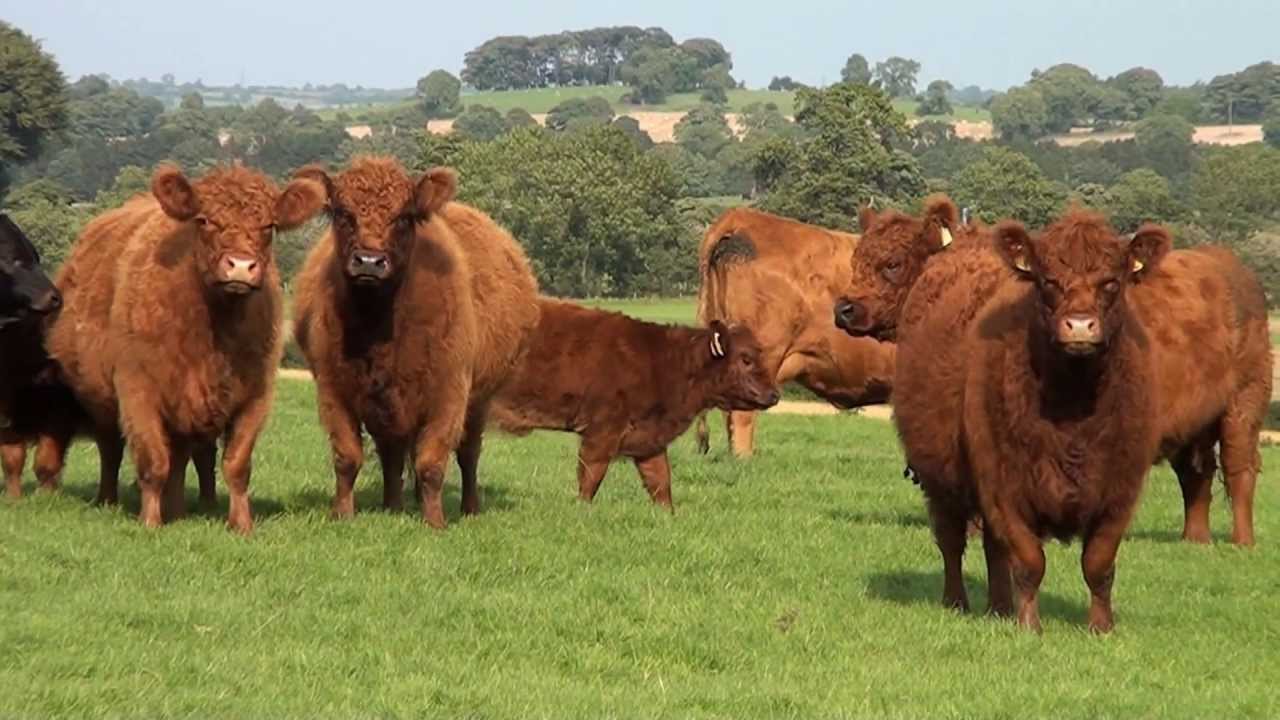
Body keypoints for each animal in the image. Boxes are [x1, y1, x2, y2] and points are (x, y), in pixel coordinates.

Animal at [43, 164, 325, 532]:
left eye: (269, 226)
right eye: (204, 220)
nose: (240, 266)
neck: (212, 332)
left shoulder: (255, 396)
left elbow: (236, 465)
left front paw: (241, 524)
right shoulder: (138, 390)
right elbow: (153, 461)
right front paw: (150, 523)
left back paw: (177, 509)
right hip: (101, 396)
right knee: (112, 449)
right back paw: (109, 499)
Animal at [291, 157, 540, 528]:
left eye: (404, 216)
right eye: (342, 213)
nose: (369, 261)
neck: (380, 326)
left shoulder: (449, 393)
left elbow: (432, 462)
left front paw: (435, 522)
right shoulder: (335, 390)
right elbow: (347, 457)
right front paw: (342, 514)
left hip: (479, 399)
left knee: (468, 453)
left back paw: (469, 508)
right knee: (392, 455)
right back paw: (392, 506)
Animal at [489, 298, 780, 508]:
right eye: (745, 359)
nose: (774, 394)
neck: (662, 361)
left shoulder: (650, 440)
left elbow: (661, 482)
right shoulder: (602, 433)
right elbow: (590, 477)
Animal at [836, 196, 1273, 546]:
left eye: (892, 263)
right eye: (856, 259)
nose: (844, 308)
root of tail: (1230, 266)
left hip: (1245, 403)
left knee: (1239, 468)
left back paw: (1242, 542)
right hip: (1196, 423)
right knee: (1197, 474)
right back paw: (1194, 540)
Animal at [960, 214, 1171, 632]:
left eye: (1111, 282)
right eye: (1049, 282)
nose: (1080, 326)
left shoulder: (1120, 490)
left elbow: (1099, 564)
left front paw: (1102, 628)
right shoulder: (1005, 485)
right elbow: (1028, 561)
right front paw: (1029, 627)